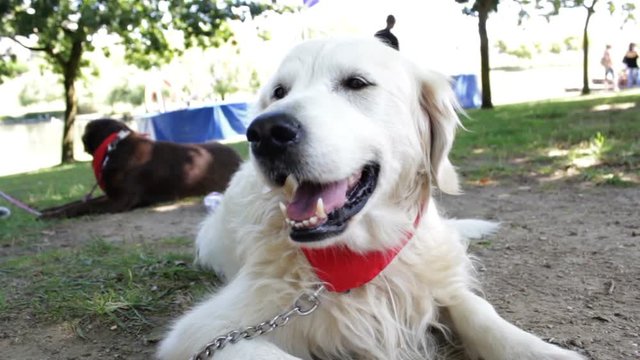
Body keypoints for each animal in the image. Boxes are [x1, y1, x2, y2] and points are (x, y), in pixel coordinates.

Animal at [39, 119, 242, 218]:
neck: (113, 146)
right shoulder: (112, 195)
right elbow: (75, 202)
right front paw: (50, 210)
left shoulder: (119, 200)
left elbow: (85, 205)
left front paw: (53, 215)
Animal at [158, 38, 584, 358]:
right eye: (279, 92)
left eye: (356, 83)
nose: (264, 132)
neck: (358, 259)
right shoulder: (203, 332)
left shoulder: (436, 280)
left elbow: (480, 312)